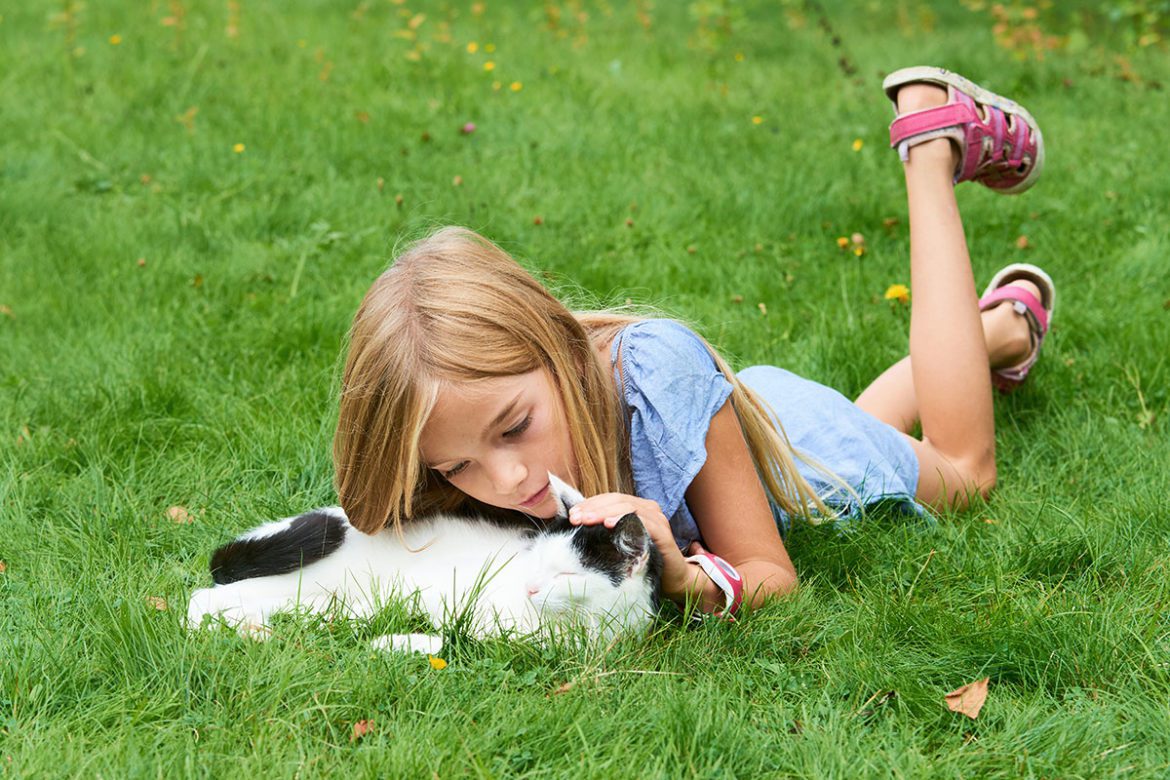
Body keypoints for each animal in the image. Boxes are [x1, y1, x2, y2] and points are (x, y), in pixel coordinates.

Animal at [187, 477, 664, 654]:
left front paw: (386, 641)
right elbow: (451, 639)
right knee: (203, 597)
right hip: (304, 575)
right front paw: (391, 644)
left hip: (329, 600)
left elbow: (459, 641)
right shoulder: (464, 609)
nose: (531, 588)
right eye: (537, 562)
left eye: (567, 575)